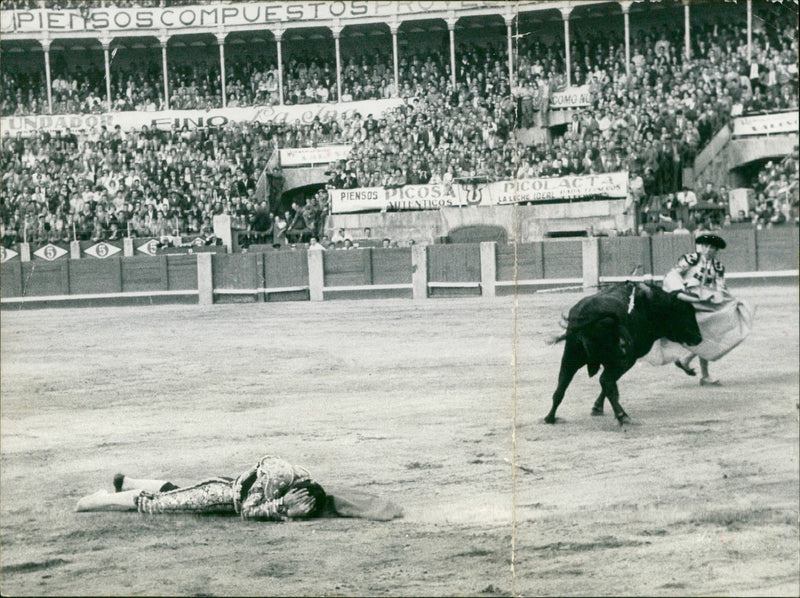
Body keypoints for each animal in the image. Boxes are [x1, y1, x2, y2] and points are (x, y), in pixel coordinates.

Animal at [544, 282, 700, 426]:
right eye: (684, 312)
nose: (699, 337)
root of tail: (588, 314)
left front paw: (597, 407)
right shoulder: (626, 360)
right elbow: (609, 383)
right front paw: (600, 408)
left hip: (571, 356)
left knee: (562, 384)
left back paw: (550, 417)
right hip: (622, 360)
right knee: (605, 380)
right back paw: (622, 415)